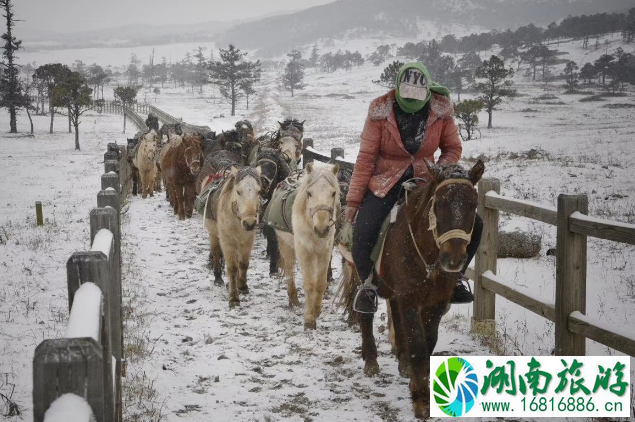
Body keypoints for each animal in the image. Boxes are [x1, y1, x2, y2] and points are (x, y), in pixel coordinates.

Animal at [204, 165, 264, 306]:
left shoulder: (247, 240)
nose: (249, 223)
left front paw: (242, 286)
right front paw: (234, 298)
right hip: (213, 234)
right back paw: (218, 278)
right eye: (238, 191)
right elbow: (232, 268)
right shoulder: (228, 242)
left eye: (258, 191)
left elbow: (243, 264)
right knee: (216, 253)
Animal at [266, 163, 340, 332]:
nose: (321, 229)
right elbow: (309, 284)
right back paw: (293, 299)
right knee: (289, 270)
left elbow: (320, 283)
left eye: (333, 193)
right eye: (309, 193)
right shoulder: (304, 252)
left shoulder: (324, 252)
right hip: (285, 245)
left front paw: (317, 309)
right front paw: (309, 320)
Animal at [340, 158, 484, 418]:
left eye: (473, 204)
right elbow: (418, 344)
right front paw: (421, 400)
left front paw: (417, 382)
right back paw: (371, 360)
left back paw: (402, 362)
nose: (453, 259)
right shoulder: (409, 299)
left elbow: (428, 342)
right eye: (439, 203)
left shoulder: (435, 303)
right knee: (366, 315)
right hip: (361, 274)